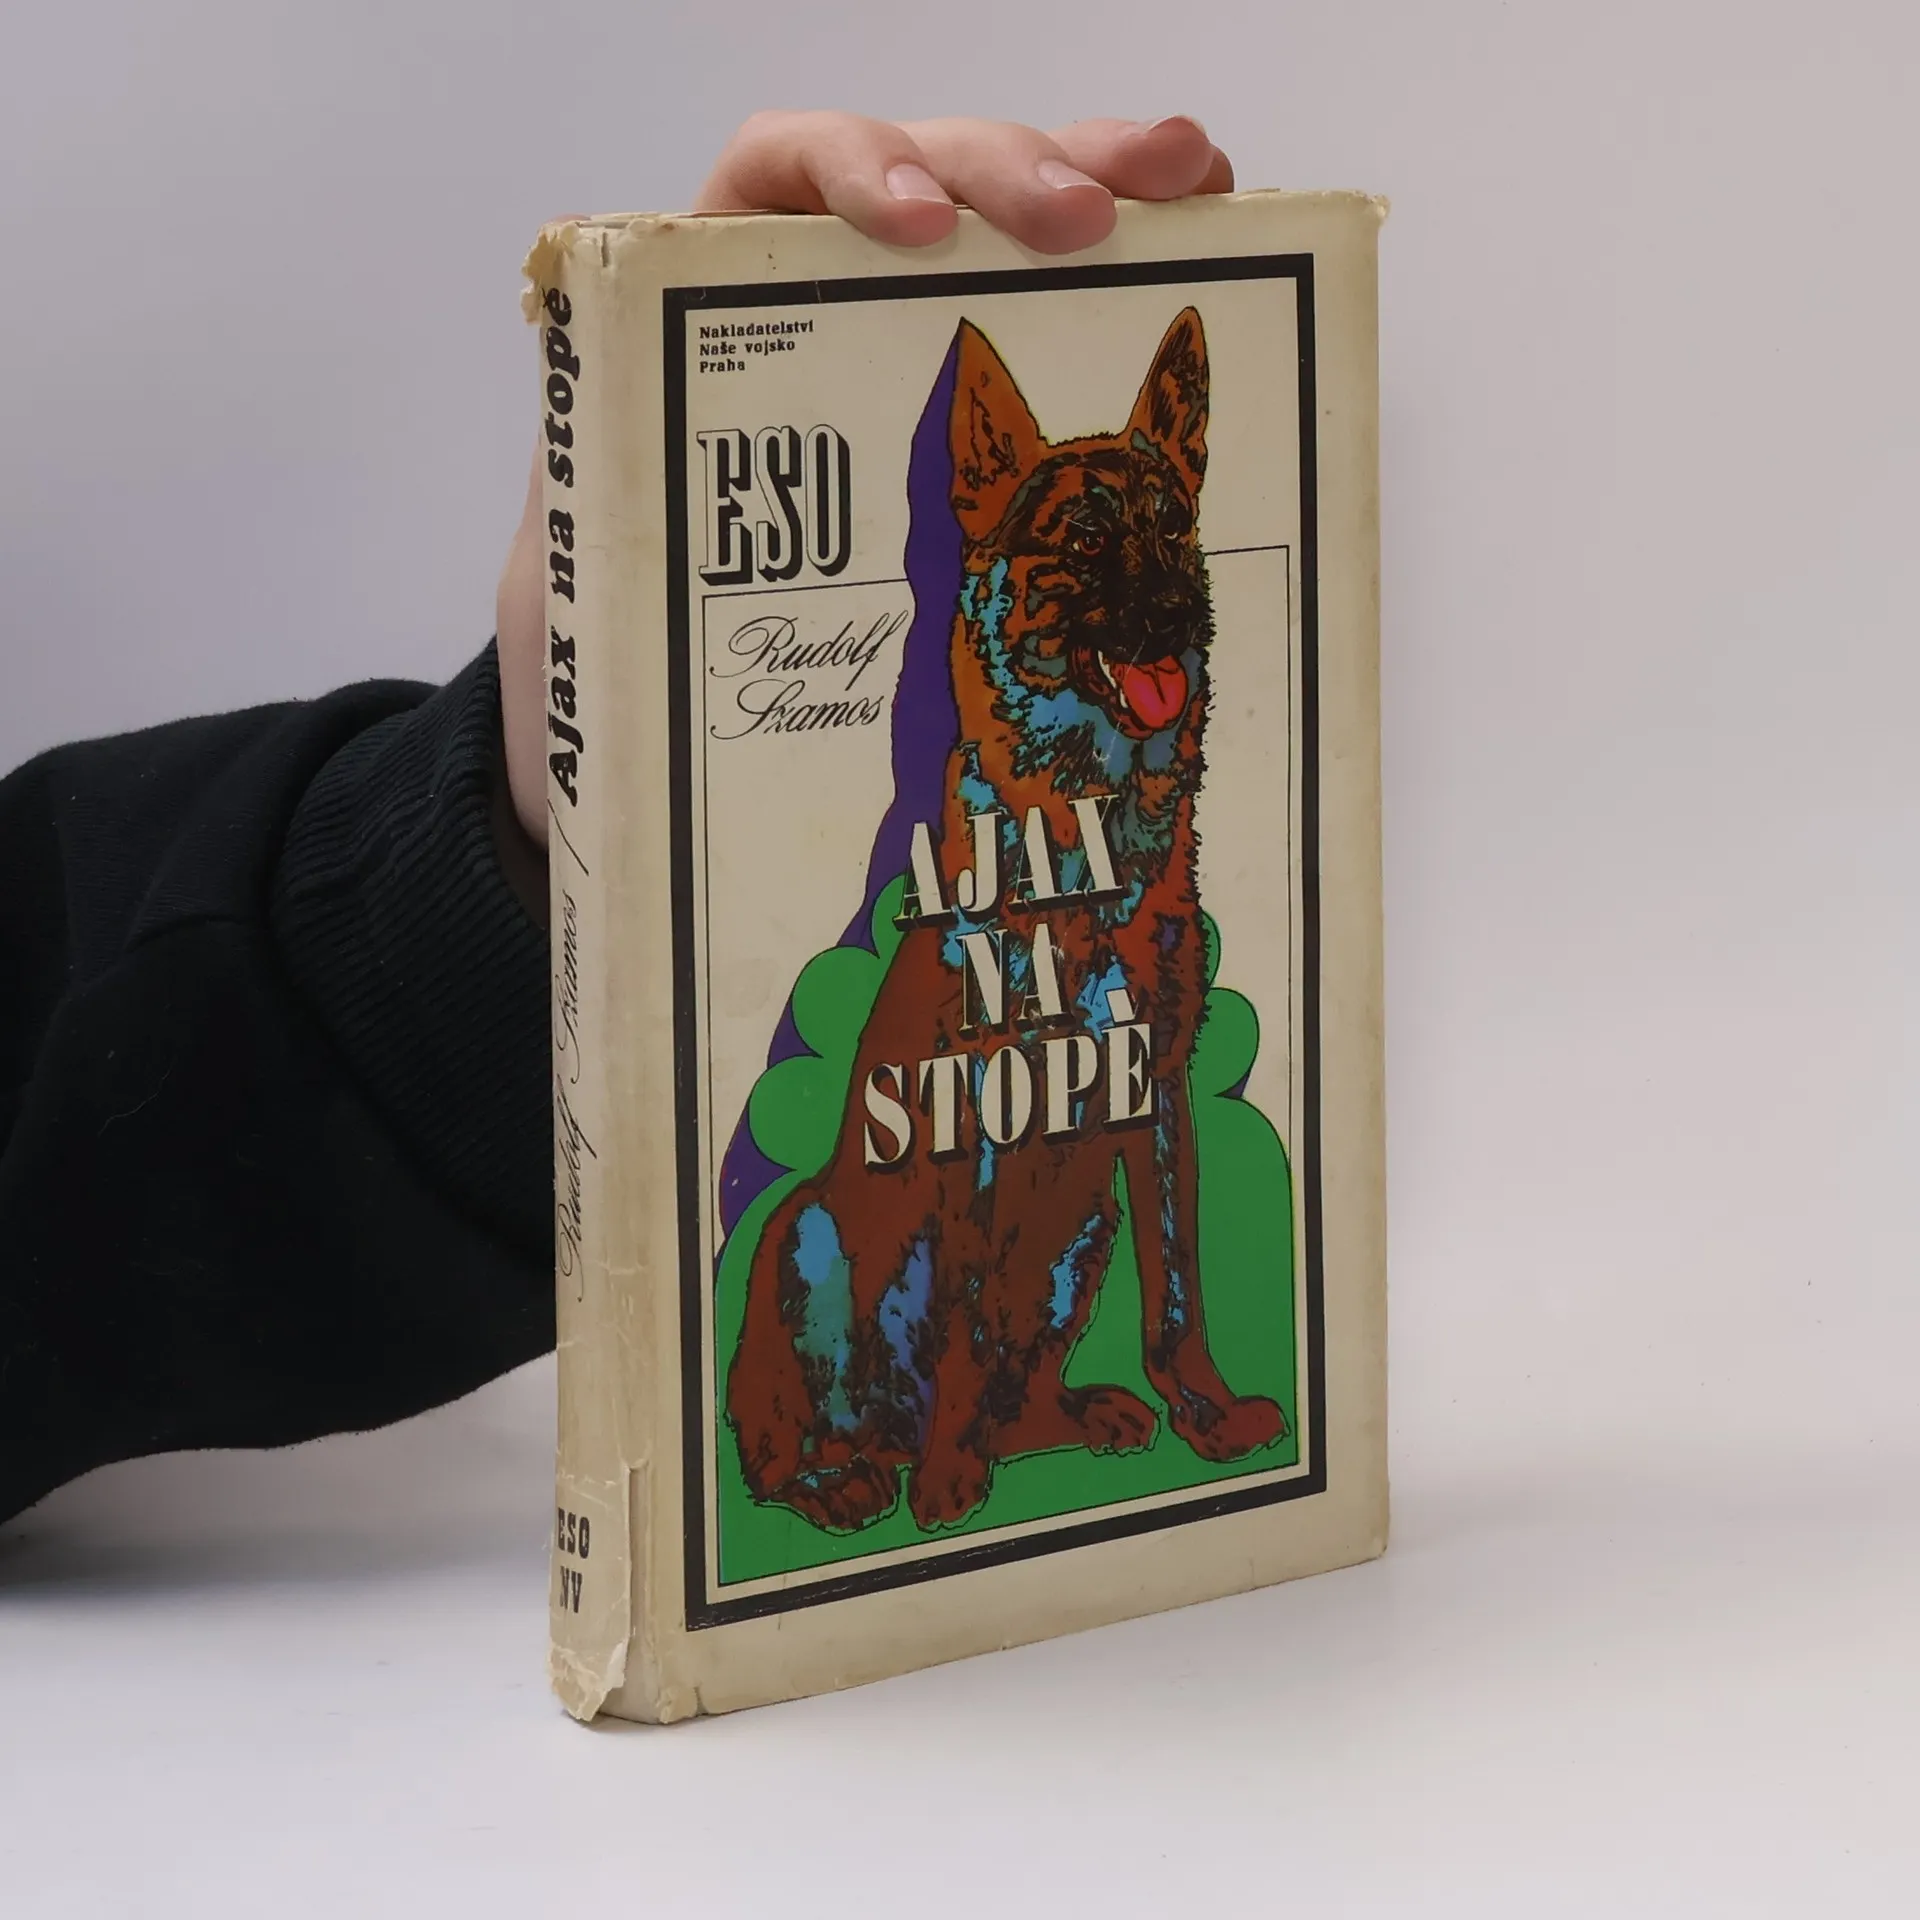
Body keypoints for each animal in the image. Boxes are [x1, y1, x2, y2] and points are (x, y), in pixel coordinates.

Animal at [726, 306, 1287, 1533]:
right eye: (1084, 542)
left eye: (1174, 529)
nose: (1180, 614)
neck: (1084, 841)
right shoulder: (975, 1117)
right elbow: (965, 1314)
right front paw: (949, 1486)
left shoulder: (1156, 1092)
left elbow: (1180, 1284)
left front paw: (1207, 1416)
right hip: (802, 1233)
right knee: (787, 1432)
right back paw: (853, 1477)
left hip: (1081, 1233)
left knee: (1015, 1377)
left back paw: (1054, 1423)